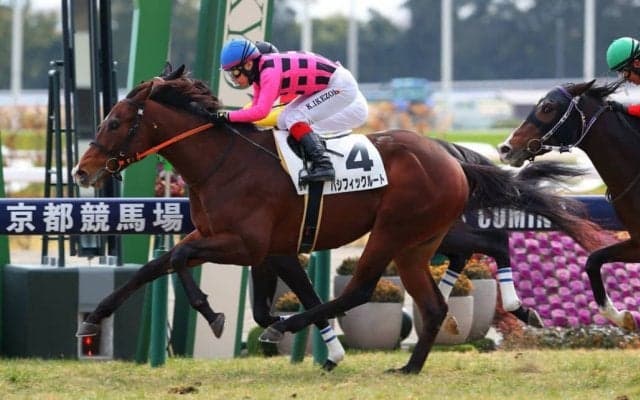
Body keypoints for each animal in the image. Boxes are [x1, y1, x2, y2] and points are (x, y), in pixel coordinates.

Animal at [72, 64, 602, 374]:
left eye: (115, 121)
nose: (82, 170)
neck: (223, 161)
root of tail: (451, 158)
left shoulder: (245, 243)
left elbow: (178, 259)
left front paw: (212, 313)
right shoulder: (250, 244)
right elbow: (163, 267)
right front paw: (97, 319)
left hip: (394, 231)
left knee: (365, 289)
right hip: (418, 241)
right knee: (436, 297)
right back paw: (412, 364)